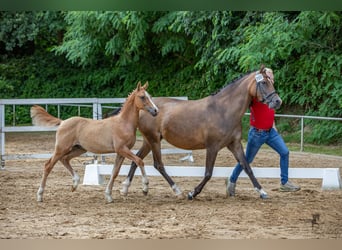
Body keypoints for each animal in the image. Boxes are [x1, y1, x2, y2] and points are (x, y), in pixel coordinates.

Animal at [30, 82, 158, 203]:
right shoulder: (122, 149)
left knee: (65, 159)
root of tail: (63, 122)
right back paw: (40, 195)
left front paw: (108, 196)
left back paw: (75, 184)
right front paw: (145, 188)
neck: (123, 123)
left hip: (79, 149)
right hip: (61, 148)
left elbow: (115, 172)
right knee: (48, 165)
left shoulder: (121, 152)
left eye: (150, 96)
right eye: (142, 97)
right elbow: (139, 161)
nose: (155, 111)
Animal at [120, 65, 280, 200]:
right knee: (158, 165)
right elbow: (208, 173)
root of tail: (146, 108)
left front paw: (262, 192)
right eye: (264, 82)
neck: (224, 110)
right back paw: (177, 190)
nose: (278, 101)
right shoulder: (212, 147)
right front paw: (192, 193)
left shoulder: (234, 144)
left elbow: (247, 167)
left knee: (136, 159)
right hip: (153, 140)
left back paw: (128, 188)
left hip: (149, 141)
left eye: (271, 81)